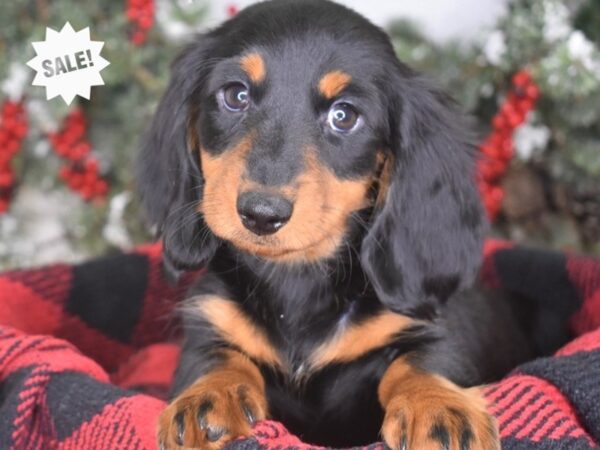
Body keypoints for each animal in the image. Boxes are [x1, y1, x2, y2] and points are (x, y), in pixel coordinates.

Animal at [138, 0, 548, 450]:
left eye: (344, 116)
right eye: (235, 95)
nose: (261, 213)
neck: (296, 282)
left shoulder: (429, 326)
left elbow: (423, 358)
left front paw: (438, 407)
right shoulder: (209, 318)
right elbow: (216, 356)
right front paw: (210, 395)